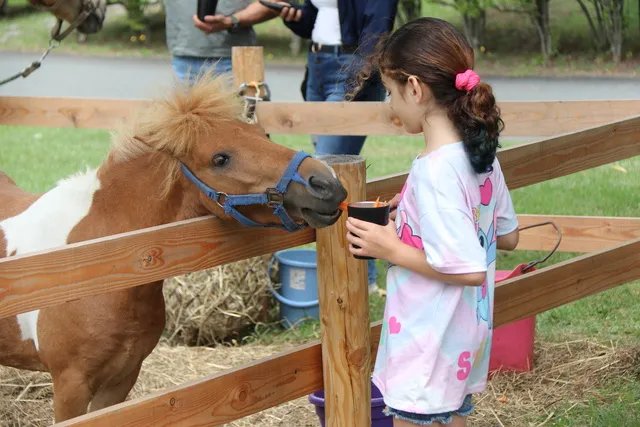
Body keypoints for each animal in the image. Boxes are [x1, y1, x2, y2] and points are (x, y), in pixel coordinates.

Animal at [0, 72, 347, 423]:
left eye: (261, 134)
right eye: (220, 158)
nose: (326, 184)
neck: (95, 261)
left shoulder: (121, 379)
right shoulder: (70, 386)